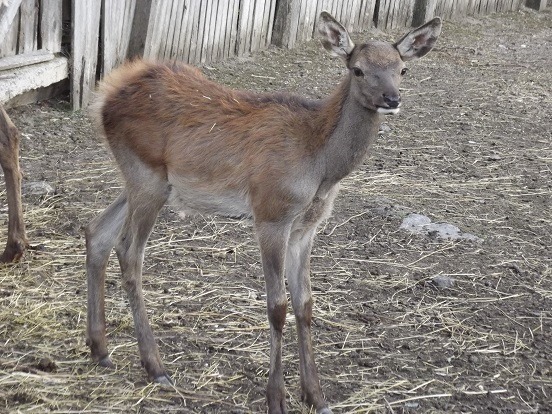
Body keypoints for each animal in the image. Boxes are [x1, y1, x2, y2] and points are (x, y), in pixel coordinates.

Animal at [84, 11, 442, 412]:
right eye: (358, 69)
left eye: (402, 68)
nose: (391, 99)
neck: (319, 165)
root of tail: (104, 95)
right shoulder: (271, 214)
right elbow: (277, 306)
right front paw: (276, 397)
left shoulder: (307, 227)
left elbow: (305, 303)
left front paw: (316, 395)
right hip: (147, 177)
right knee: (129, 251)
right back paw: (155, 366)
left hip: (143, 180)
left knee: (97, 231)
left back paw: (100, 349)